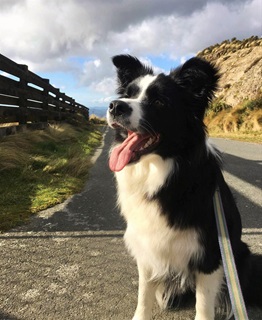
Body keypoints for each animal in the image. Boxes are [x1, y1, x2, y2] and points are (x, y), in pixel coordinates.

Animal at [107, 55, 262, 320]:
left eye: (159, 101)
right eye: (128, 94)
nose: (115, 106)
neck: (163, 171)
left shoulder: (210, 254)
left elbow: (203, 305)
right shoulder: (146, 246)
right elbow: (144, 294)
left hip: (240, 254)